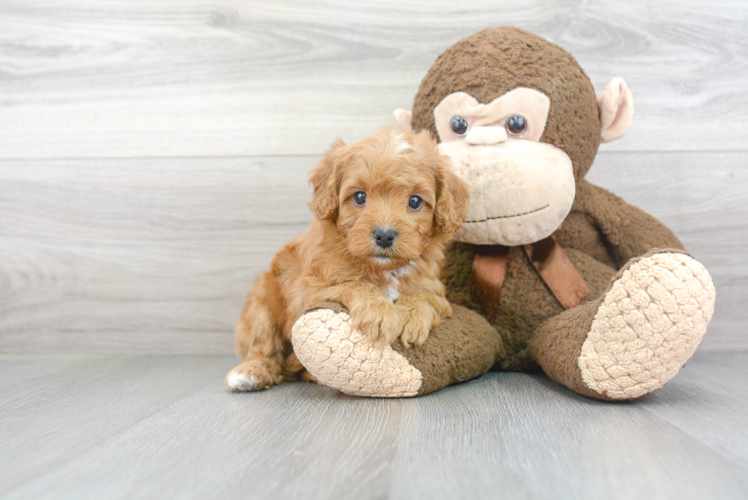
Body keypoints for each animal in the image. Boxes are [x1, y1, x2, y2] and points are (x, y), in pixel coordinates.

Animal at [225, 125, 468, 390]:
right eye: (360, 197)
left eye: (415, 201)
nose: (384, 235)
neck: (382, 269)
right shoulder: (307, 289)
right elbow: (354, 284)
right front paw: (379, 312)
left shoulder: (436, 290)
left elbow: (423, 295)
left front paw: (408, 318)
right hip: (261, 304)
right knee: (263, 346)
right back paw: (249, 373)